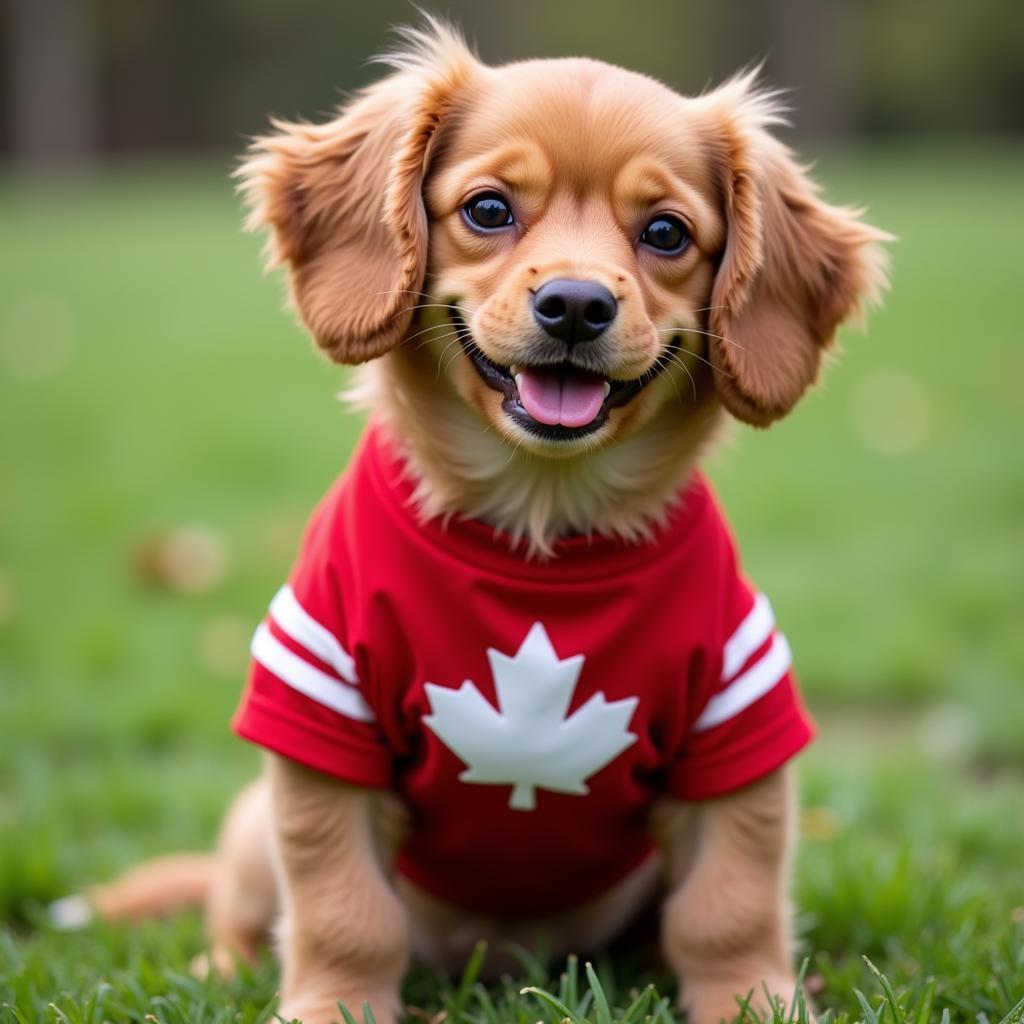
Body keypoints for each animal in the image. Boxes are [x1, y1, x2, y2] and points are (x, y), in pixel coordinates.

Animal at [77, 18, 888, 1024]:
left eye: (666, 232)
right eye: (490, 210)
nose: (576, 304)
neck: (540, 522)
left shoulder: (736, 730)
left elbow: (729, 909)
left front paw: (752, 1001)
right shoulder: (320, 725)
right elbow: (342, 911)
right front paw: (331, 1006)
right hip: (251, 830)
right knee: (240, 912)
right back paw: (218, 971)